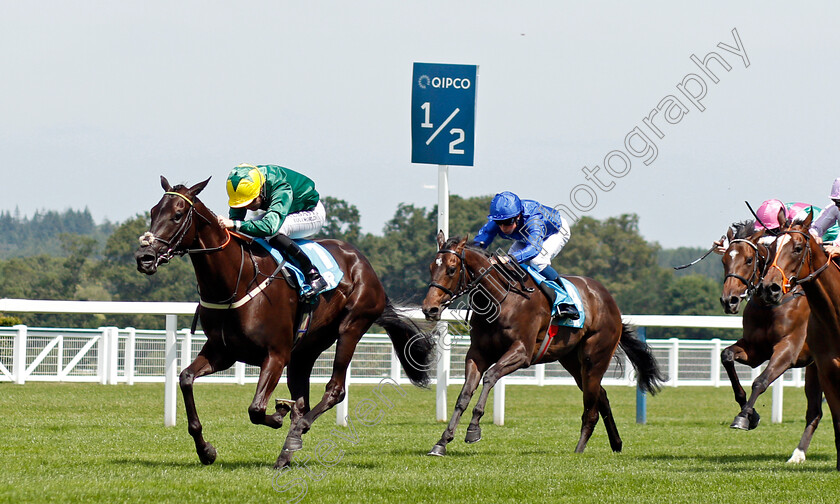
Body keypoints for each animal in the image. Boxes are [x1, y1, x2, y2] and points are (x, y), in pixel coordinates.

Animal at [133, 176, 434, 468]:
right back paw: (288, 450)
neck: (236, 282)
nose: (144, 257)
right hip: (305, 350)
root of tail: (364, 263)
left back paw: (297, 431)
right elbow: (185, 379)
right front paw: (206, 451)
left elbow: (256, 409)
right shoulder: (223, 352)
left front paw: (277, 413)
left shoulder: (275, 354)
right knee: (302, 401)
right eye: (153, 212)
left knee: (334, 390)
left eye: (177, 215)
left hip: (352, 325)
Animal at [420, 232, 664, 456]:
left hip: (594, 358)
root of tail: (609, 300)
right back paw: (616, 444)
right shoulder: (478, 354)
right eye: (431, 267)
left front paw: (473, 429)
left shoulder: (522, 352)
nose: (429, 308)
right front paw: (442, 442)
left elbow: (490, 377)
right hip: (572, 361)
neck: (501, 298)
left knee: (591, 408)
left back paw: (579, 449)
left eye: (452, 269)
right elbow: (464, 394)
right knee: (601, 396)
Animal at [716, 219, 820, 462]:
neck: (769, 305)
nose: (729, 301)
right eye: (724, 260)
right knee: (815, 411)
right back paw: (799, 453)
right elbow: (726, 356)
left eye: (748, 260)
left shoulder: (789, 350)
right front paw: (751, 414)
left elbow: (761, 381)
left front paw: (744, 417)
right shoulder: (755, 350)